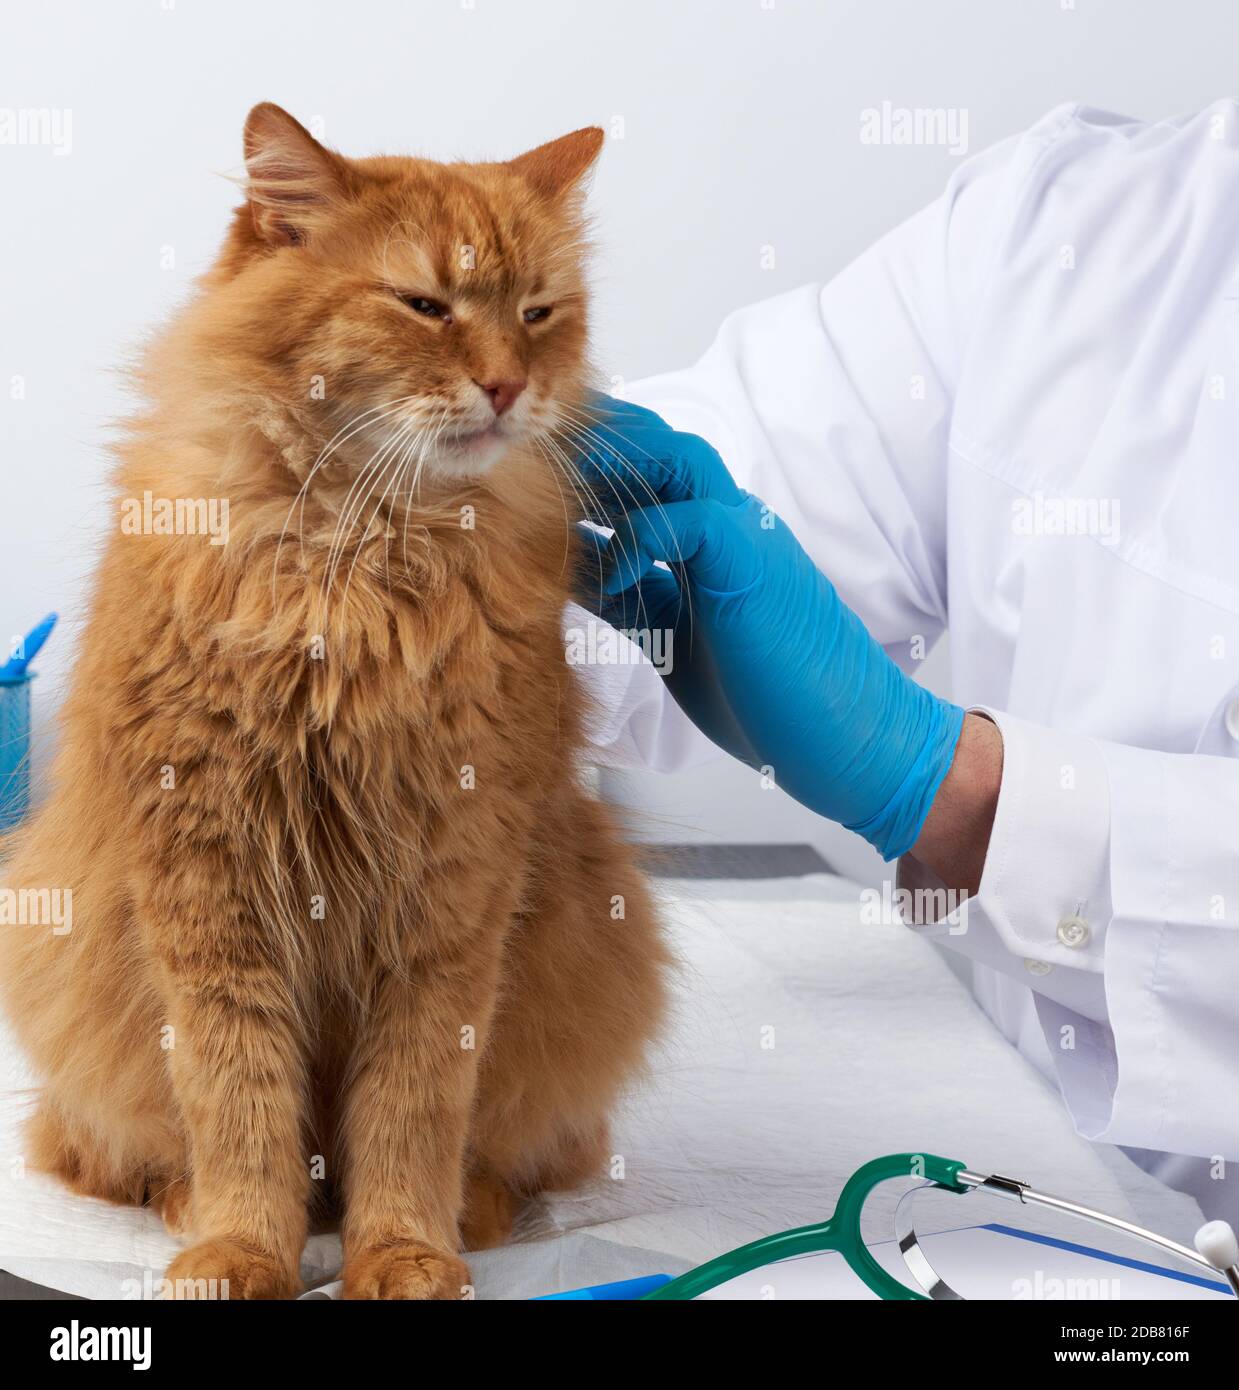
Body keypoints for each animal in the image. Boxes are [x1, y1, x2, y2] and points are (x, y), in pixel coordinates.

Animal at [0, 108, 667, 1301]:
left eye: (538, 313)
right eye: (426, 306)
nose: (509, 386)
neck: (356, 563)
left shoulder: (454, 895)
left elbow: (410, 1111)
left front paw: (404, 1252)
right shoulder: (210, 886)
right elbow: (239, 1105)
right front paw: (240, 1251)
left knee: (508, 1155)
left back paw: (469, 1214)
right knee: (105, 1152)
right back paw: (188, 1205)